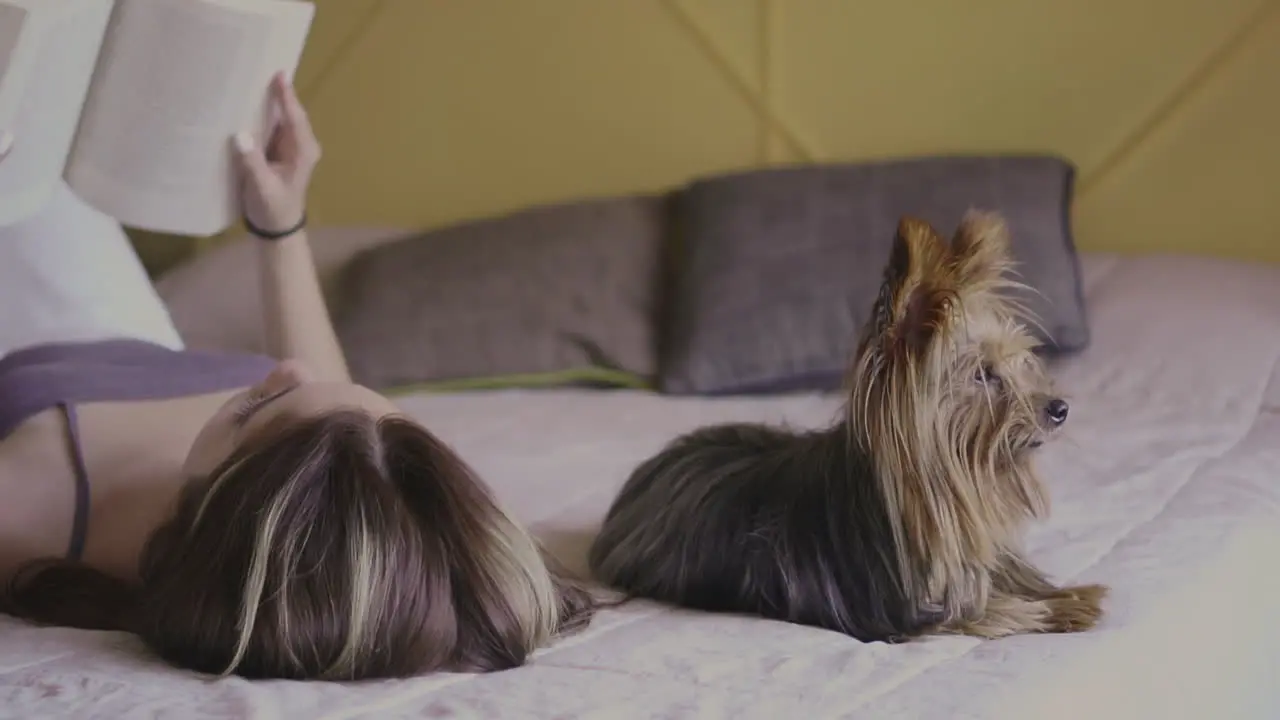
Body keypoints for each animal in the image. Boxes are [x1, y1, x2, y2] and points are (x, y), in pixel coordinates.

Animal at [586, 208, 1105, 638]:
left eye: (1023, 360)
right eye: (983, 374)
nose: (1059, 408)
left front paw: (1064, 594)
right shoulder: (897, 614)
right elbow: (984, 612)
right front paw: (1053, 609)